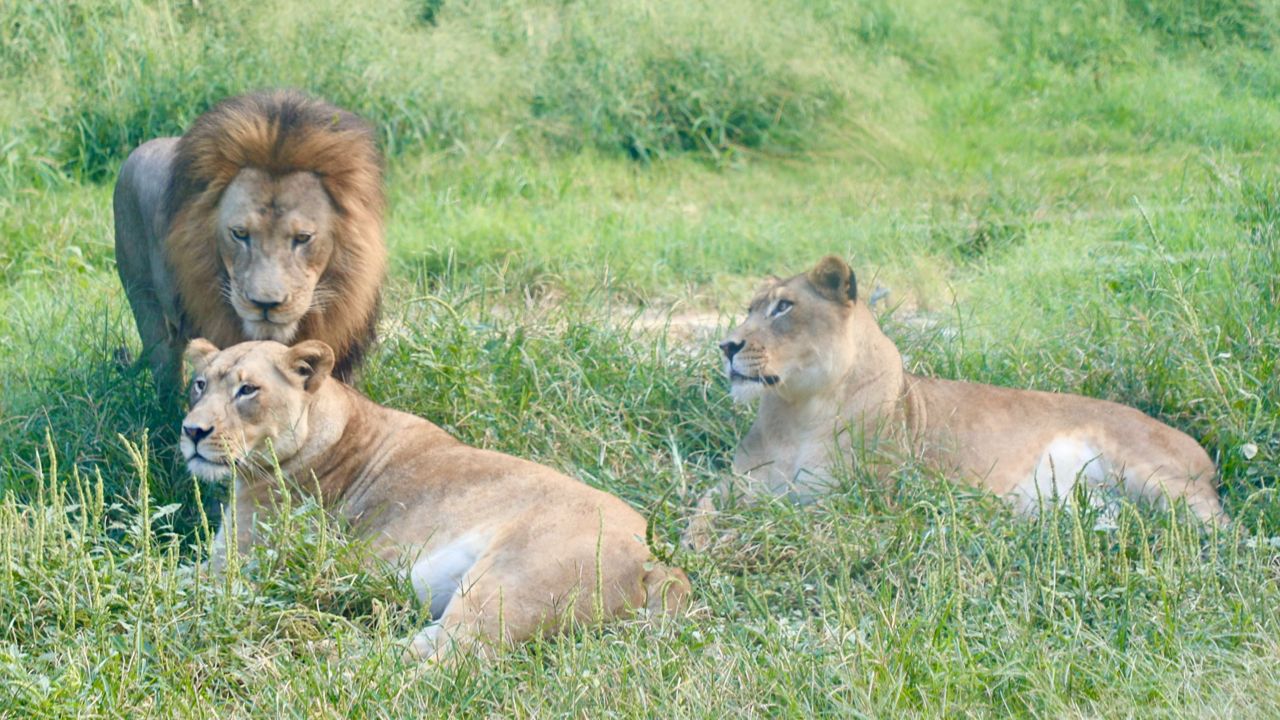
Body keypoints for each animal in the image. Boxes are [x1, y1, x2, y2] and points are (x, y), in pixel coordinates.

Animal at [180, 338, 691, 661]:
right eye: (201, 385)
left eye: (248, 389)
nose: (192, 431)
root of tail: (658, 559)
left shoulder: (239, 566)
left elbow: (167, 576)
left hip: (506, 582)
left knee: (455, 657)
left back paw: (322, 655)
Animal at [701, 253, 1228, 527]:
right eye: (750, 309)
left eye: (784, 308)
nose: (727, 344)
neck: (797, 411)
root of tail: (1204, 453)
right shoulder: (735, 483)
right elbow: (701, 509)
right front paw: (697, 545)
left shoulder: (861, 500)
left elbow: (793, 516)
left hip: (1152, 474)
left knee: (1218, 523)